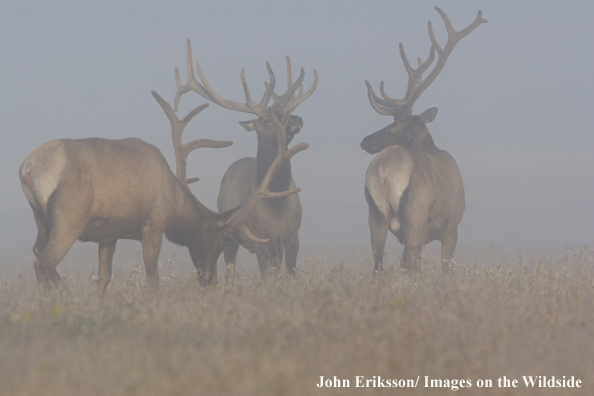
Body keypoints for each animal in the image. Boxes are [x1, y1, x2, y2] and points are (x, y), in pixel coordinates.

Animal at [18, 79, 306, 290]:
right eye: (220, 240)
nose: (209, 280)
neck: (176, 201)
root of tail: (28, 166)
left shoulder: (110, 233)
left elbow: (104, 278)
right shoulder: (154, 223)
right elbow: (153, 280)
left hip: (40, 218)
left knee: (36, 252)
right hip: (69, 218)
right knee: (43, 263)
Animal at [173, 38, 316, 276]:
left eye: (284, 110)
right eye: (267, 119)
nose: (298, 119)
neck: (276, 203)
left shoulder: (292, 237)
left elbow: (290, 273)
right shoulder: (260, 239)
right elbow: (265, 275)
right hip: (231, 236)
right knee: (230, 270)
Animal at [358, 6, 484, 272]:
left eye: (390, 130)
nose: (365, 141)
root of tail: (385, 172)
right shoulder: (451, 227)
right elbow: (446, 268)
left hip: (375, 215)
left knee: (378, 264)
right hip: (416, 216)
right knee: (411, 261)